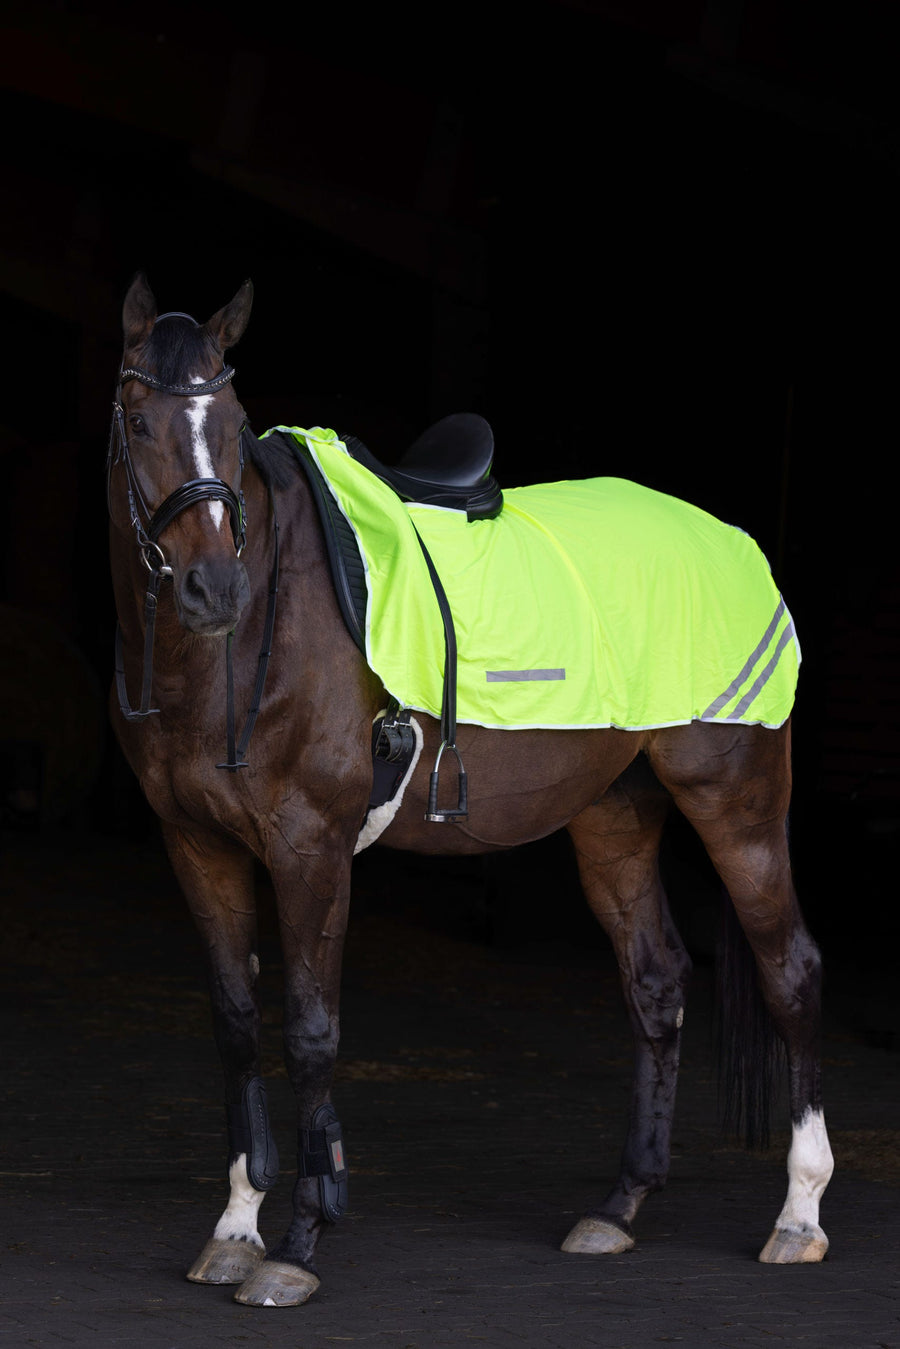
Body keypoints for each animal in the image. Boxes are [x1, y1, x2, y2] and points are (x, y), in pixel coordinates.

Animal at [107, 274, 833, 1308]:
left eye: (236, 420)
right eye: (139, 419)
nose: (214, 588)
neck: (237, 648)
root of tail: (735, 542)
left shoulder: (310, 846)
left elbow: (312, 1033)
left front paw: (298, 1244)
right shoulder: (196, 845)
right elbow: (238, 1027)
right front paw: (236, 1229)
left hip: (736, 800)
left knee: (791, 971)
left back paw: (799, 1214)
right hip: (615, 814)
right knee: (655, 979)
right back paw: (619, 1206)